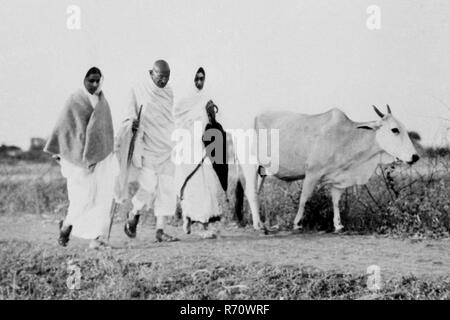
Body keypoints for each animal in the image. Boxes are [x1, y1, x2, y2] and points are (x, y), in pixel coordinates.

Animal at [234, 105, 420, 232]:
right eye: (394, 130)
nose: (415, 157)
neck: (346, 137)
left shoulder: (338, 179)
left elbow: (336, 201)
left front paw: (338, 225)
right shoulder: (312, 173)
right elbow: (304, 198)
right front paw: (297, 223)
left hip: (261, 171)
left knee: (254, 193)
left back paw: (257, 222)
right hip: (250, 165)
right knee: (251, 193)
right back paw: (259, 225)